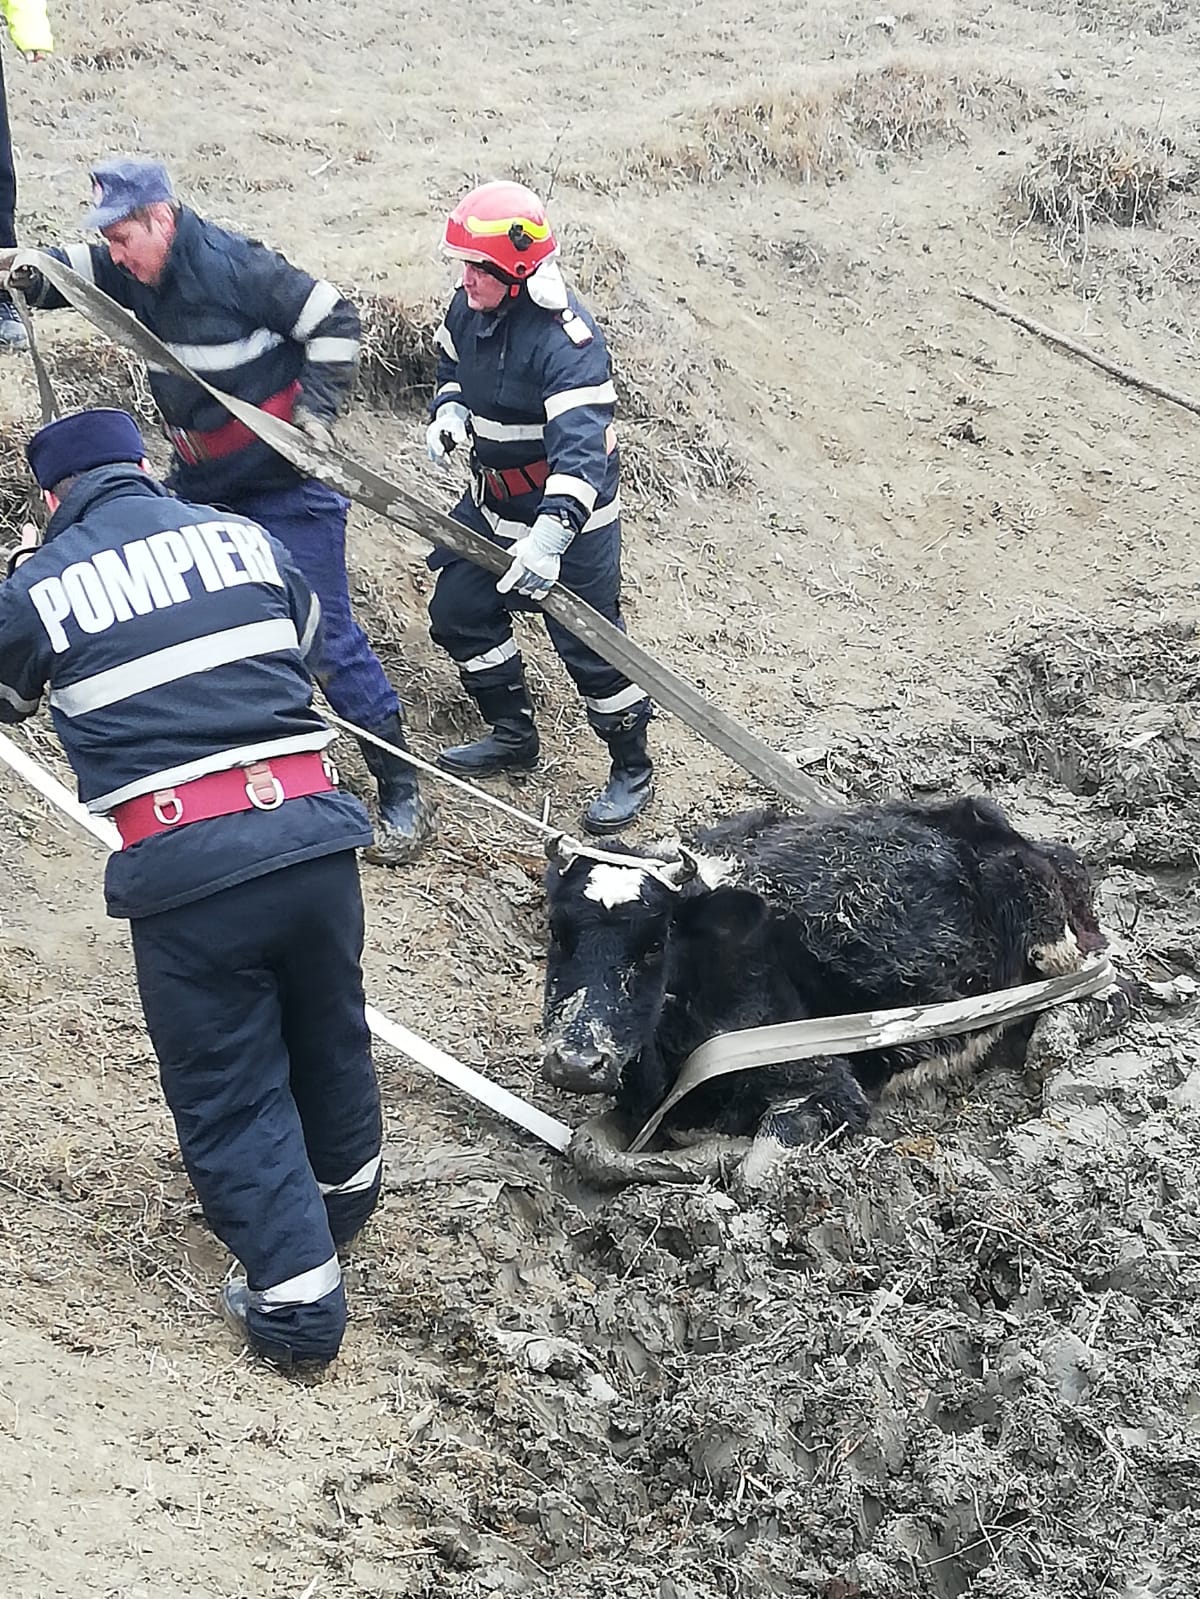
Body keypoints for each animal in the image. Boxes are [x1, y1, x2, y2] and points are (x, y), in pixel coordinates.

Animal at [540, 796, 1116, 1184]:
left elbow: (755, 1170)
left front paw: (722, 1152)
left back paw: (1054, 1037)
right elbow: (589, 1150)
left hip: (1050, 931)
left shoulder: (827, 1087)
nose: (576, 1063)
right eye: (557, 932)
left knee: (1105, 978)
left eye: (655, 945)